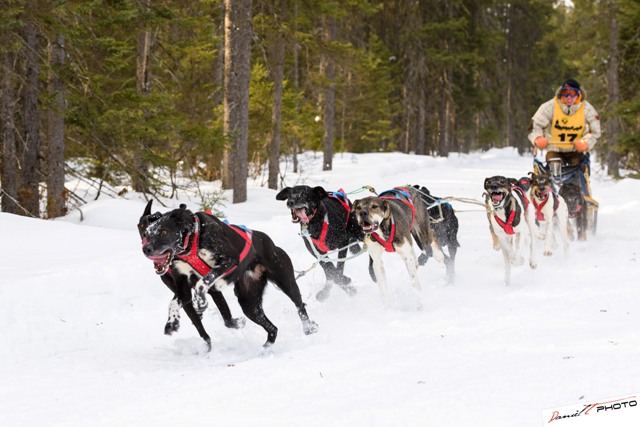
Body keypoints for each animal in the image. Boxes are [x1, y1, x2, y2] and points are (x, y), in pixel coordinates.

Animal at [141, 201, 318, 352]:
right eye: (146, 234)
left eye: (163, 232)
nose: (146, 249)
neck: (191, 243)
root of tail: (270, 242)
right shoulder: (183, 287)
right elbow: (173, 303)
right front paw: (172, 322)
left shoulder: (229, 259)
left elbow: (202, 282)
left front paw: (201, 301)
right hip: (249, 304)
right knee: (273, 328)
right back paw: (264, 349)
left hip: (286, 283)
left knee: (299, 305)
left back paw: (308, 328)